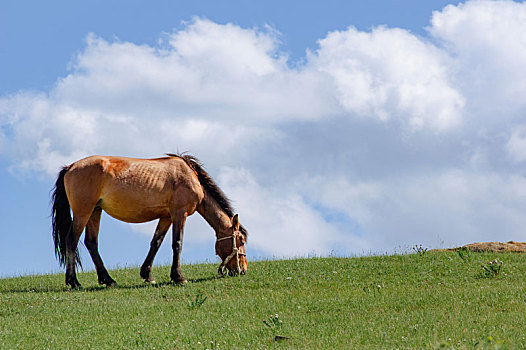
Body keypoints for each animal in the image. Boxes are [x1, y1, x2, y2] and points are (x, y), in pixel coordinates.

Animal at [50, 154, 249, 288]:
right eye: (241, 240)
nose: (243, 270)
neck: (190, 176)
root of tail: (70, 166)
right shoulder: (180, 213)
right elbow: (177, 243)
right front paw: (178, 277)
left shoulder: (166, 216)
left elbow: (156, 242)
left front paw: (147, 274)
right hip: (83, 212)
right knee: (71, 240)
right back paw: (73, 281)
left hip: (95, 211)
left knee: (91, 243)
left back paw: (108, 279)